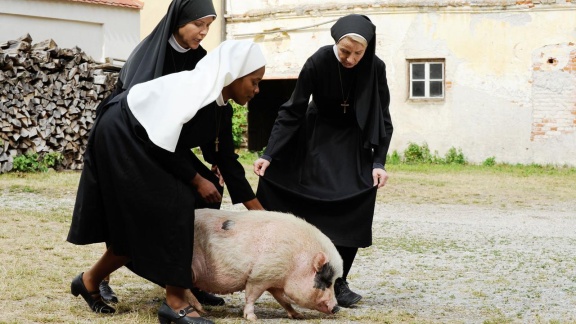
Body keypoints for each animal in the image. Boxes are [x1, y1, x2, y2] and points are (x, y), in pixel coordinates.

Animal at [190, 209, 342, 320]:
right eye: (327, 281)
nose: (337, 308)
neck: (295, 261)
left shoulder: (275, 282)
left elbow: (283, 300)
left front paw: (299, 315)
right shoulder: (260, 275)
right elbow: (251, 296)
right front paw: (252, 318)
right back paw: (201, 311)